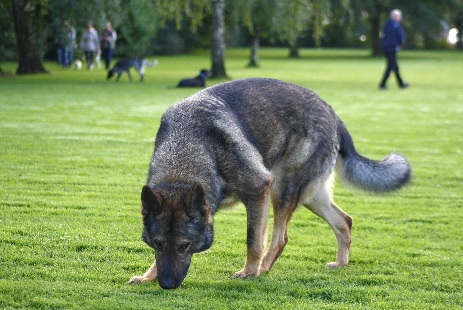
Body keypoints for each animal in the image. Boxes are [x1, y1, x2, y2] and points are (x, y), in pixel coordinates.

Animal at [129, 78, 412, 290]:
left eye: (184, 246)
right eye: (158, 243)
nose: (166, 284)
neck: (186, 153)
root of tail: (330, 111)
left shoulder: (259, 190)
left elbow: (253, 240)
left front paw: (249, 271)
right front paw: (148, 275)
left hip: (282, 189)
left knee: (280, 238)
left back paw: (263, 268)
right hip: (311, 196)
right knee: (344, 222)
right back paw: (341, 263)